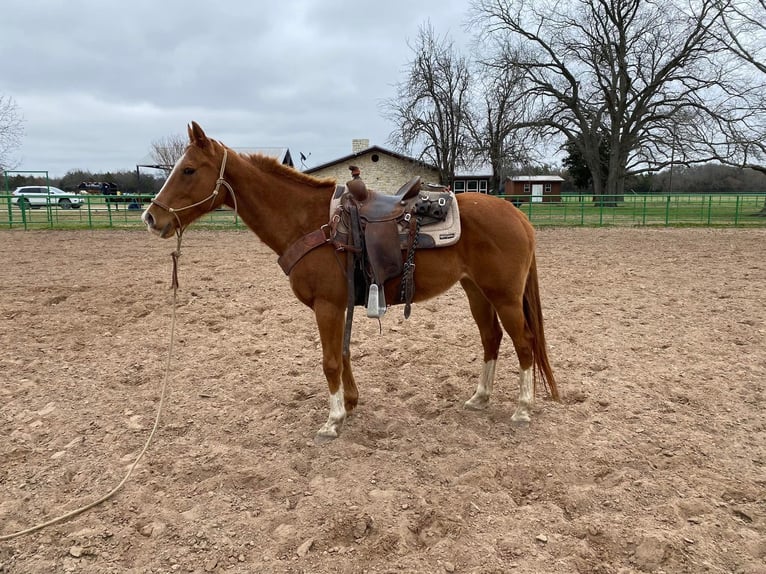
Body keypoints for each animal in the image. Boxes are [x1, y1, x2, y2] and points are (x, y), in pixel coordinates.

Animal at [144, 121, 560, 444]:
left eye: (189, 170)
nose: (151, 217)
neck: (312, 222)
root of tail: (518, 217)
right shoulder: (339, 305)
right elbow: (343, 354)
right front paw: (352, 403)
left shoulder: (327, 306)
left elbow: (330, 360)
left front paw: (332, 421)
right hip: (477, 292)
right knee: (492, 338)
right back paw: (480, 397)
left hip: (505, 296)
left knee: (524, 342)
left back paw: (523, 409)